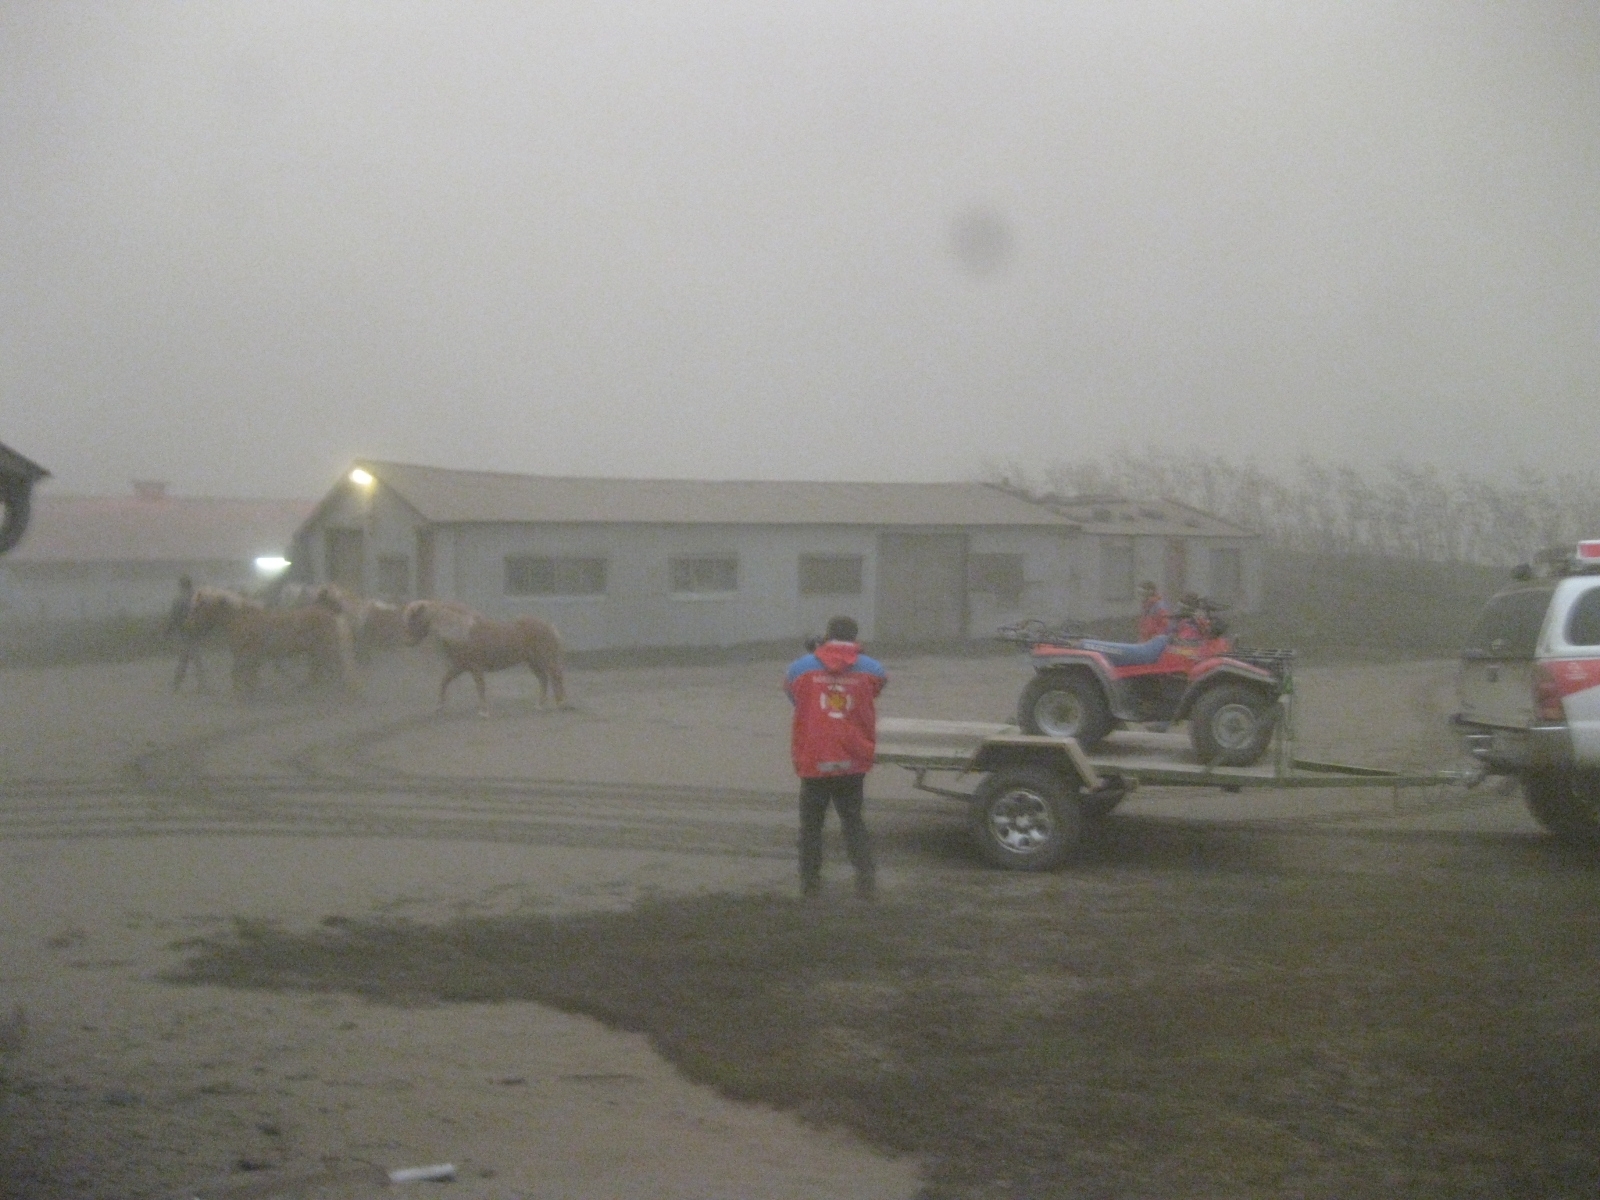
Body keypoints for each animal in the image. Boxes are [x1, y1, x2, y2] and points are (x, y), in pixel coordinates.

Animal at [185, 585, 358, 694]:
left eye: (196, 608)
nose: (189, 626)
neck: (240, 617)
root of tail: (331, 611)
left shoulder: (245, 655)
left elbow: (241, 676)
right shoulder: (250, 657)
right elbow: (248, 677)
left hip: (326, 650)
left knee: (337, 669)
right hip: (318, 652)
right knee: (322, 671)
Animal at [400, 601, 569, 713]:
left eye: (413, 618)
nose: (406, 641)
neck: (461, 631)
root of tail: (550, 627)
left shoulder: (475, 667)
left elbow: (480, 686)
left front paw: (483, 710)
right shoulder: (458, 667)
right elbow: (444, 681)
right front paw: (439, 706)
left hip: (545, 659)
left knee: (556, 677)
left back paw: (561, 704)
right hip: (533, 662)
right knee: (544, 679)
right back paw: (540, 705)